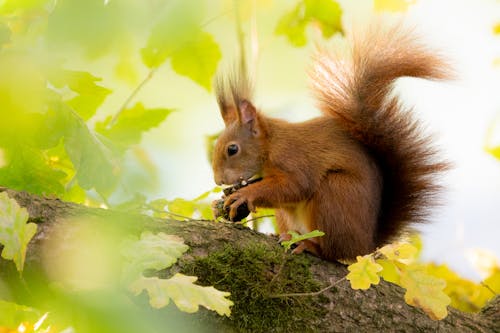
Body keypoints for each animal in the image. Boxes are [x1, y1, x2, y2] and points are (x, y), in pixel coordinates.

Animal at [209, 24, 452, 260]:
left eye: (232, 149)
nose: (219, 181)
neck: (271, 145)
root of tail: (366, 245)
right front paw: (220, 201)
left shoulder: (293, 157)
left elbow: (297, 186)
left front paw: (244, 194)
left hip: (335, 195)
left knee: (334, 251)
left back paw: (311, 246)